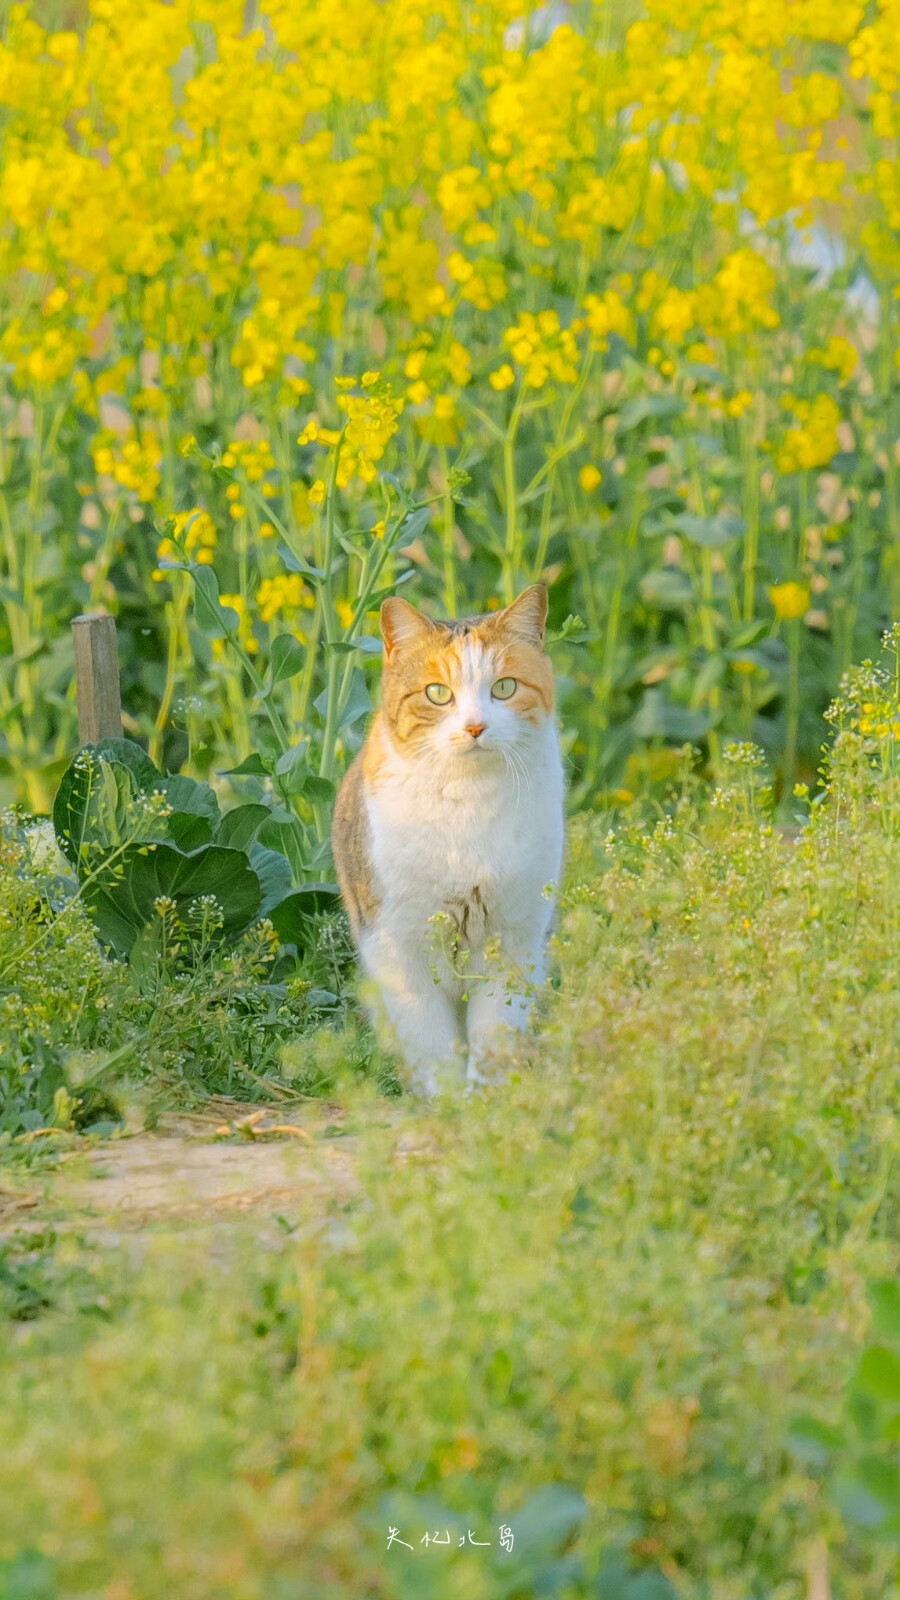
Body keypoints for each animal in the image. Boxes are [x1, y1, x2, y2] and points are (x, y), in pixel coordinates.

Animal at [333, 582, 563, 1094]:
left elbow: (494, 1030)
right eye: (438, 694)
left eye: (504, 687)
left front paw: (484, 1099)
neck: (468, 802)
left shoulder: (514, 938)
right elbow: (430, 1039)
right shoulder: (397, 945)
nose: (475, 726)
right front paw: (447, 1101)